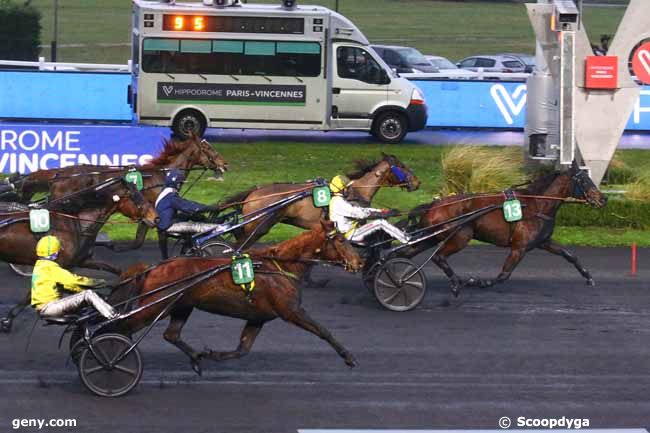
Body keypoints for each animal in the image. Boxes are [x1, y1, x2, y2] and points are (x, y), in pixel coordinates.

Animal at [0, 176, 158, 330]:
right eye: (135, 196)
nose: (155, 218)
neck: (75, 224)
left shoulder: (81, 260)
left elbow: (115, 270)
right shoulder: (57, 266)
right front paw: (8, 320)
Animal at [109, 221, 362, 372]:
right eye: (341, 240)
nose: (359, 263)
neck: (280, 267)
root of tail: (152, 268)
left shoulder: (258, 317)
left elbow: (243, 349)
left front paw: (210, 354)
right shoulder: (290, 310)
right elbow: (323, 330)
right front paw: (349, 357)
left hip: (181, 306)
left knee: (171, 334)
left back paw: (195, 358)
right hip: (154, 307)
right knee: (123, 327)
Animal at [402, 160, 604, 296]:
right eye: (585, 180)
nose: (604, 198)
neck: (537, 204)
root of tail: (433, 205)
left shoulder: (543, 241)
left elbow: (569, 255)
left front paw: (588, 277)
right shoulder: (519, 248)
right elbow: (503, 275)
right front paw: (479, 282)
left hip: (431, 237)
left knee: (407, 254)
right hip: (460, 236)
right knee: (439, 257)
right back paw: (456, 283)